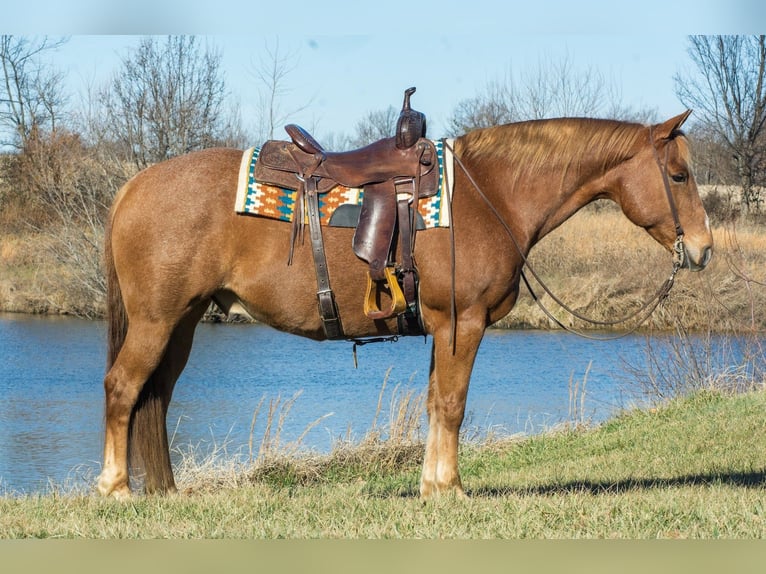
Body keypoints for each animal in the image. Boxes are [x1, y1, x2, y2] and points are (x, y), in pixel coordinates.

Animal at [97, 111, 713, 500]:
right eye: (678, 175)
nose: (705, 248)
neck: (490, 194)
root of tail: (132, 186)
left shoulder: (444, 329)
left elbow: (436, 403)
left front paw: (432, 485)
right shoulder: (464, 323)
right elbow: (453, 405)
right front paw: (450, 490)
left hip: (183, 323)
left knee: (155, 398)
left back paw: (166, 493)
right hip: (156, 321)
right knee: (124, 389)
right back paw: (115, 489)